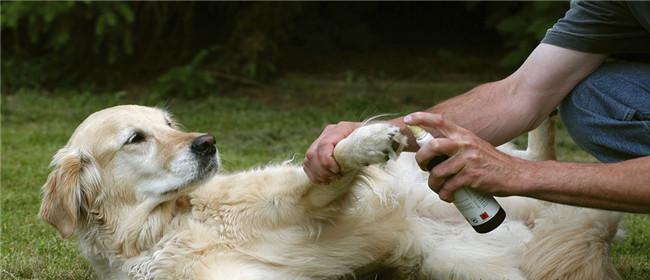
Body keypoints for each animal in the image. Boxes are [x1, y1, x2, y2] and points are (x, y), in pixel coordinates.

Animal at [41, 105, 624, 280]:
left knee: (537, 159)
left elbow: (323, 170)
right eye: (135, 139)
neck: (165, 225)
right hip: (484, 265)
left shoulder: (295, 203)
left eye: (168, 123)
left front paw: (364, 139)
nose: (207, 144)